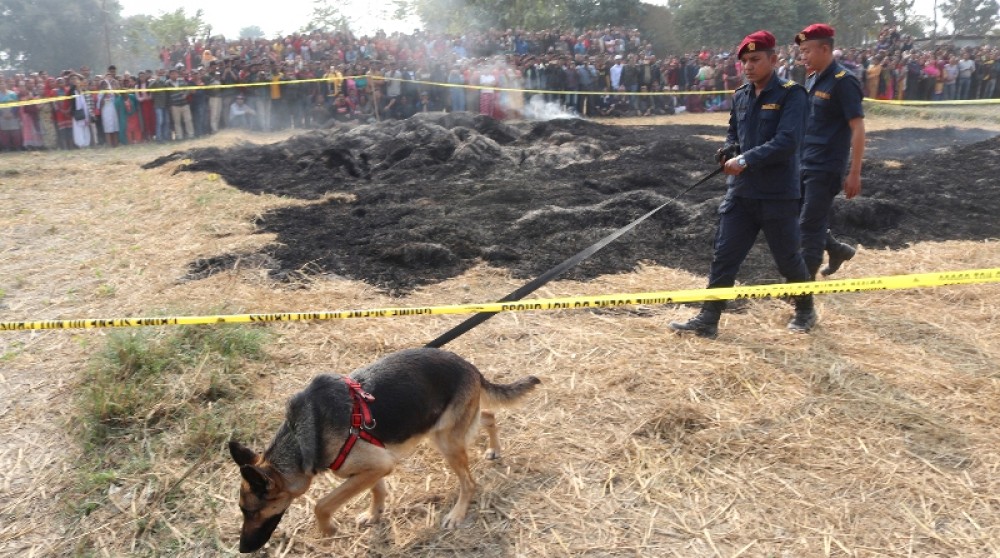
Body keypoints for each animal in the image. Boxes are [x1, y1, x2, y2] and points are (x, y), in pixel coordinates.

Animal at [227, 350, 540, 556]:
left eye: (251, 511)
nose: (242, 548)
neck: (302, 432)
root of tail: (469, 366)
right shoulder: (373, 465)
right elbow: (377, 489)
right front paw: (374, 513)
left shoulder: (374, 465)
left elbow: (322, 504)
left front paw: (328, 530)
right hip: (448, 429)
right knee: (488, 415)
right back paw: (494, 449)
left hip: (446, 441)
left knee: (470, 482)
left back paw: (458, 513)